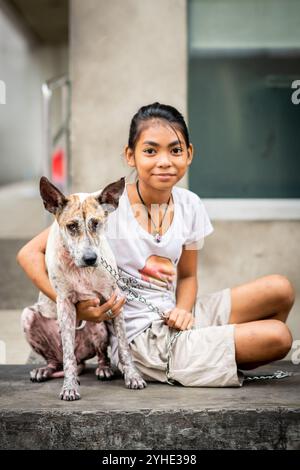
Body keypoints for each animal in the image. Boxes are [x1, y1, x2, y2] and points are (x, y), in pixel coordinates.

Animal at [20, 176, 146, 400]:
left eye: (96, 223)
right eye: (71, 226)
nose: (90, 258)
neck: (80, 270)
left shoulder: (114, 301)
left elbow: (124, 347)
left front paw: (132, 376)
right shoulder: (65, 303)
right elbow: (68, 355)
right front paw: (69, 387)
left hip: (100, 327)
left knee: (102, 354)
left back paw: (104, 368)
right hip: (28, 317)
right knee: (60, 360)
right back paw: (44, 370)